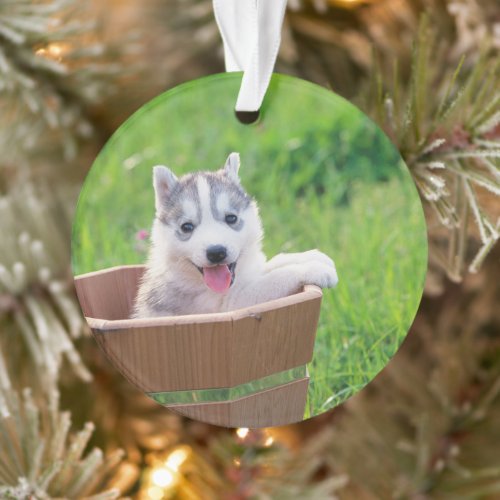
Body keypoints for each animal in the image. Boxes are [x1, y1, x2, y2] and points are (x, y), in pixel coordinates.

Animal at [132, 151, 336, 316]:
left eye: (231, 218)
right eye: (186, 227)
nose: (216, 252)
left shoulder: (248, 273)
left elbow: (271, 264)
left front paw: (311, 256)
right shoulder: (231, 304)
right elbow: (274, 278)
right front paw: (315, 269)